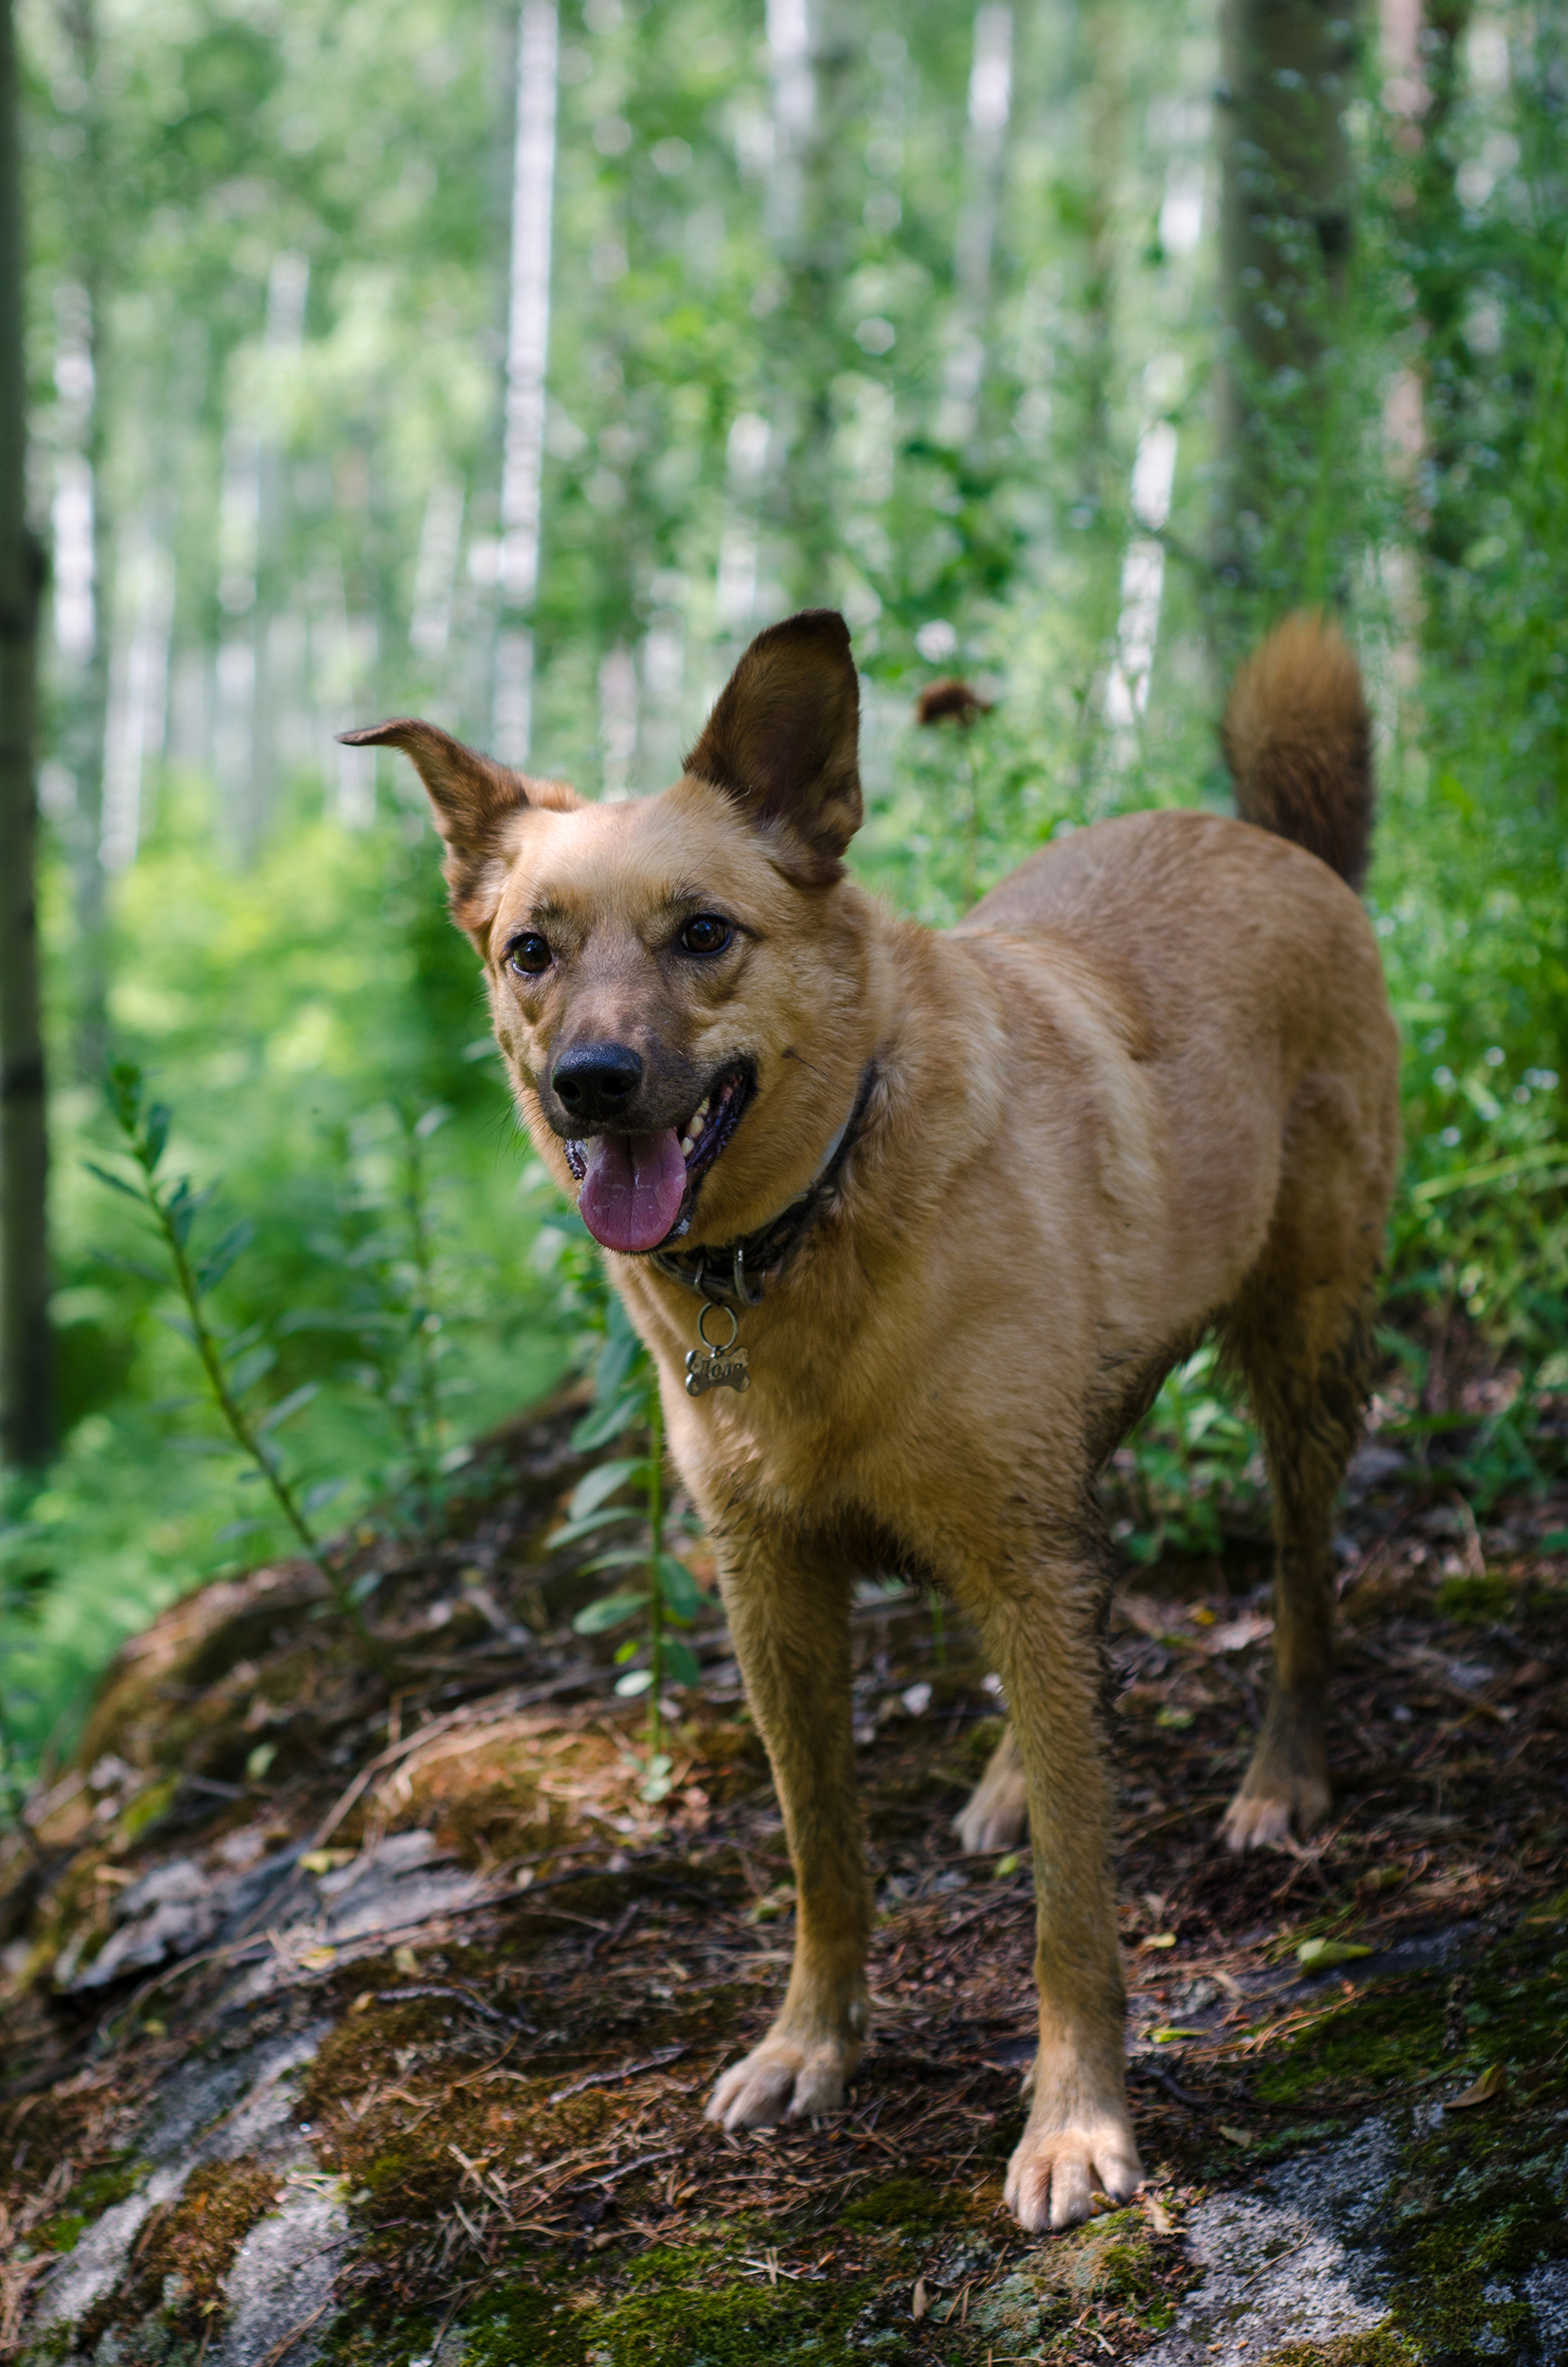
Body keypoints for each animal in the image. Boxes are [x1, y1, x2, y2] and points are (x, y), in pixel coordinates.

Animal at [350, 601, 1401, 2225]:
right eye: (531, 950)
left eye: (703, 933)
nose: (592, 1084)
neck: (797, 1241)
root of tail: (1275, 842)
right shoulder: (776, 1594)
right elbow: (825, 1856)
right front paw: (813, 2050)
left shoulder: (1019, 1552)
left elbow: (1074, 1915)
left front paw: (1076, 2127)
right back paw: (1014, 1782)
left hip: (1301, 1352)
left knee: (1298, 1579)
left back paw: (1282, 1782)